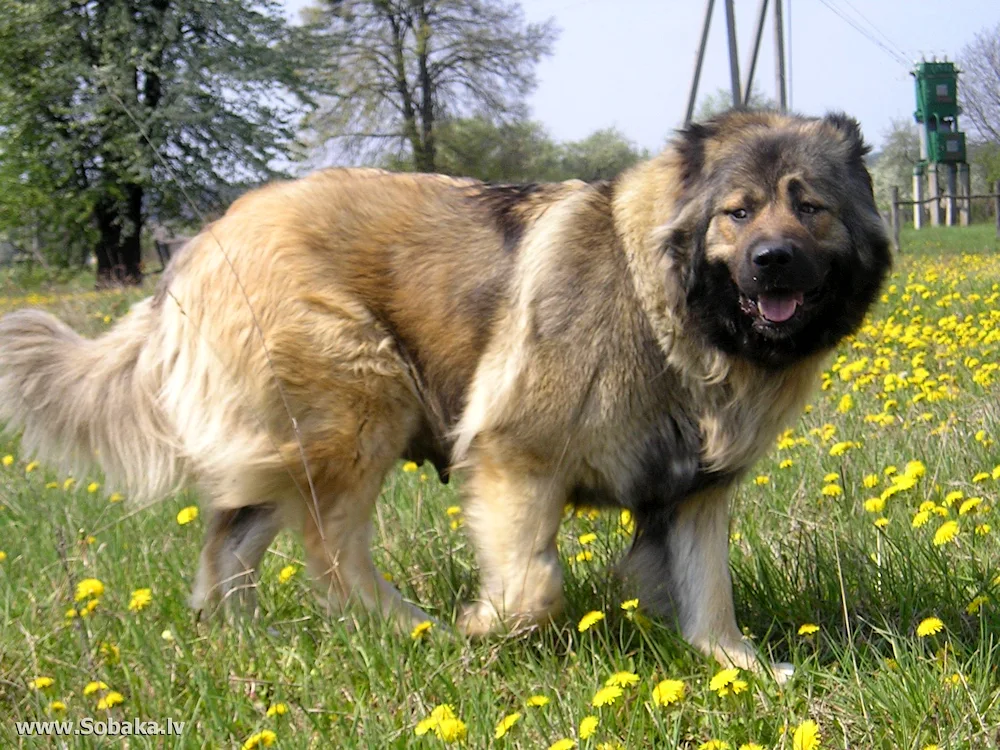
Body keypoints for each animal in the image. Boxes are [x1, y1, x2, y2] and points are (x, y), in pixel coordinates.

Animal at [0, 110, 892, 676]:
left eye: (810, 206)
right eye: (738, 213)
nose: (773, 260)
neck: (665, 305)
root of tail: (198, 244)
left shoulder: (697, 490)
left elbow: (708, 591)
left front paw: (740, 668)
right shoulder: (514, 458)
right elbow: (533, 584)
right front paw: (484, 628)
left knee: (231, 543)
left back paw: (241, 639)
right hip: (364, 398)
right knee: (331, 550)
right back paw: (410, 628)